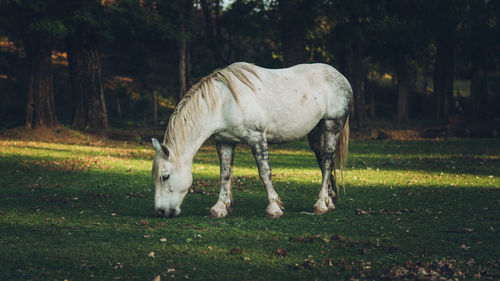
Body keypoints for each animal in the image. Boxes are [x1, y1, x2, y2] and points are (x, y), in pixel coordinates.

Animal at [152, 62, 352, 218]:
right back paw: (329, 201)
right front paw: (220, 208)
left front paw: (273, 208)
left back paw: (320, 204)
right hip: (316, 132)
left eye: (165, 176)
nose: (161, 212)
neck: (223, 103)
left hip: (332, 124)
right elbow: (225, 174)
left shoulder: (257, 138)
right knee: (324, 160)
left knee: (327, 161)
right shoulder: (225, 142)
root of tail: (341, 77)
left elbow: (264, 172)